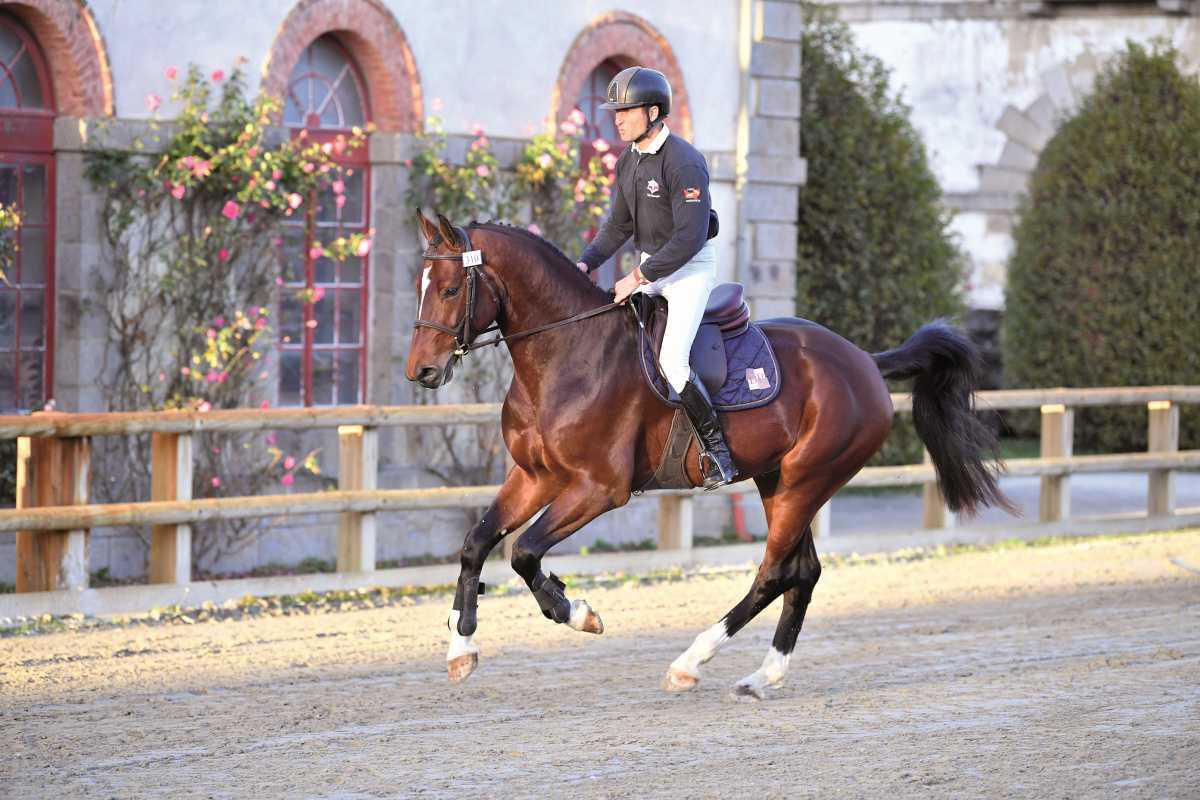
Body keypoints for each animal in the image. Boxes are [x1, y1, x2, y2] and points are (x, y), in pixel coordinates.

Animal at [405, 212, 1012, 700]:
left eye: (451, 289)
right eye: (421, 285)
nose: (422, 372)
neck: (565, 353)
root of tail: (863, 360)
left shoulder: (599, 488)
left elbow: (526, 552)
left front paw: (577, 613)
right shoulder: (535, 476)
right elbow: (477, 542)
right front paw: (461, 650)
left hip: (805, 481)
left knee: (774, 573)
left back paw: (690, 662)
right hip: (777, 479)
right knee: (803, 573)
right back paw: (763, 677)